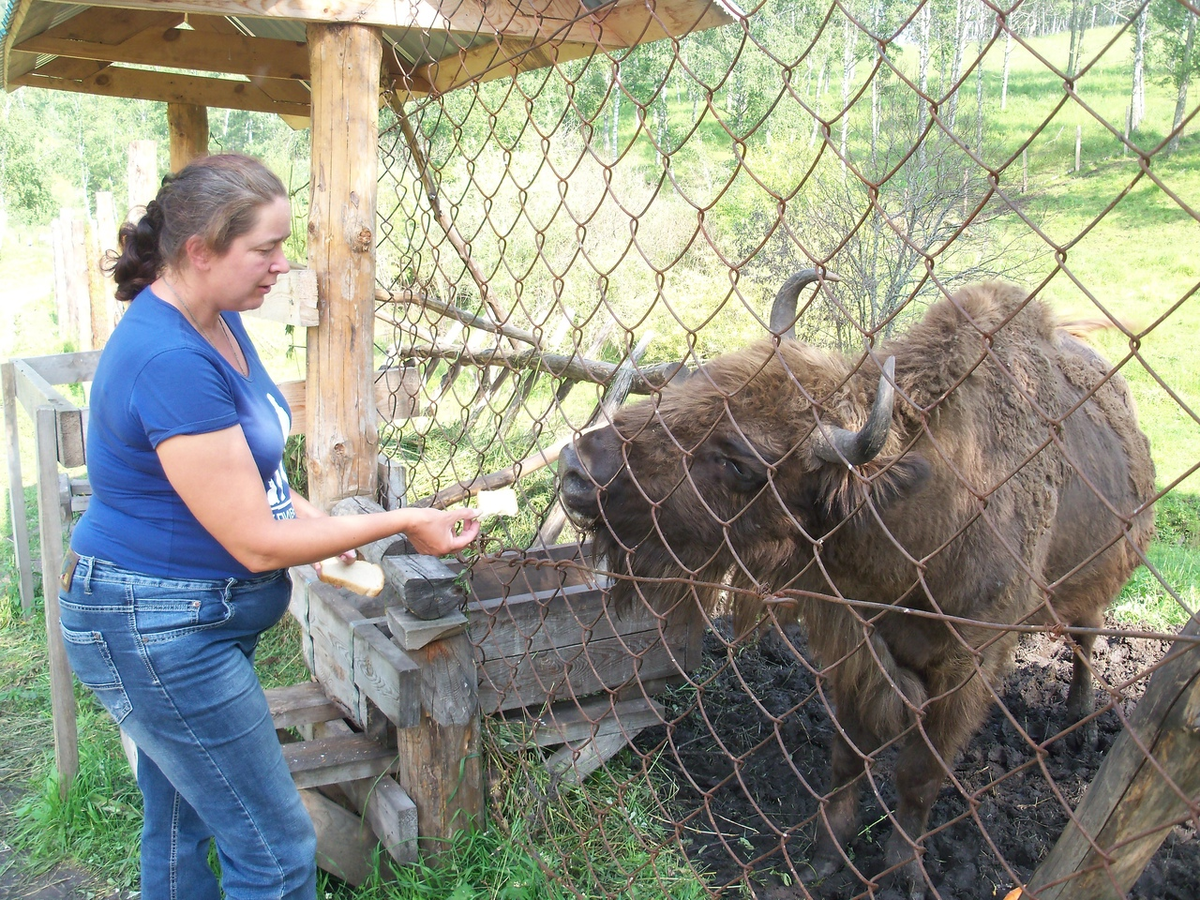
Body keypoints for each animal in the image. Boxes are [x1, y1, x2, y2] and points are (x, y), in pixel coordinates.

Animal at [556, 277, 1156, 900]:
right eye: (702, 379)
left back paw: (1078, 722)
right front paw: (825, 855)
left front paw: (905, 873)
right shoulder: (857, 648)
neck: (923, 512)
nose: (575, 465)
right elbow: (847, 754)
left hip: (1096, 578)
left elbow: (920, 774)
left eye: (738, 461)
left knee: (1086, 634)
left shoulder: (967, 666)